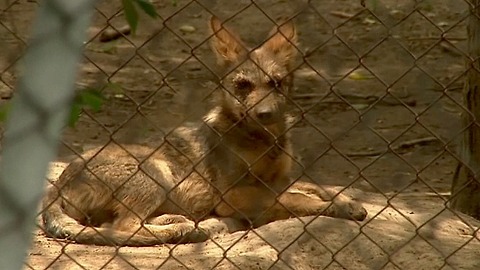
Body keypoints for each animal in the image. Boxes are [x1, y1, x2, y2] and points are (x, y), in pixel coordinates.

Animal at [42, 15, 368, 246]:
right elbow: (299, 199)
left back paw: (176, 221)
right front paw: (341, 209)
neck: (263, 143)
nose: (265, 115)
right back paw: (184, 229)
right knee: (122, 229)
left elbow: (319, 188)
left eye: (276, 83)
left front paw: (347, 202)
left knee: (118, 225)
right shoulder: (232, 195)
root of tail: (57, 184)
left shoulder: (281, 178)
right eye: (242, 85)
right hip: (154, 172)